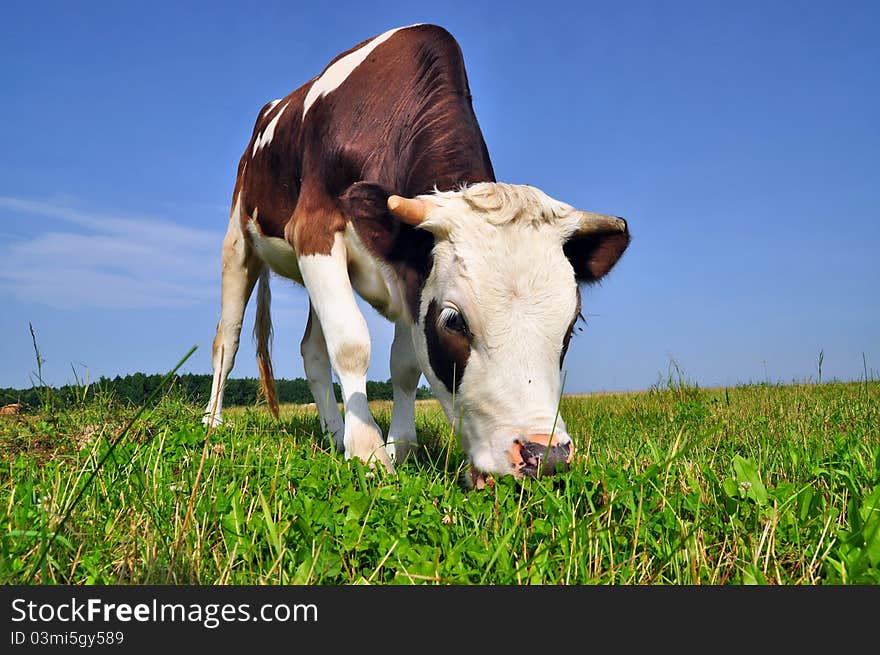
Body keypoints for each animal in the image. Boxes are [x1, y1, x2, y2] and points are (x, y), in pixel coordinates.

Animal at [205, 24, 632, 486]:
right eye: (454, 321)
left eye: (572, 326)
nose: (544, 456)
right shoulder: (314, 230)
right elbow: (352, 344)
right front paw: (369, 451)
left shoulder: (411, 274)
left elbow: (405, 364)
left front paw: (400, 445)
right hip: (239, 242)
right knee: (227, 339)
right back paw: (214, 422)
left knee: (312, 351)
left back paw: (334, 432)